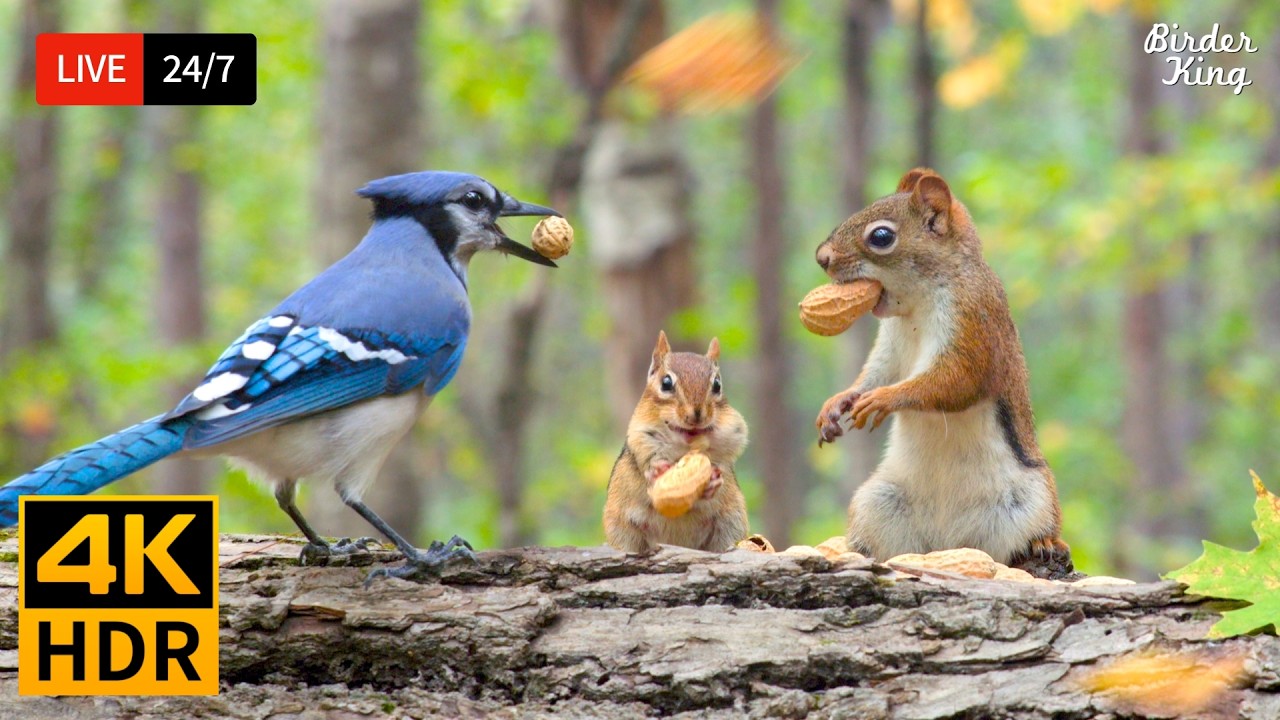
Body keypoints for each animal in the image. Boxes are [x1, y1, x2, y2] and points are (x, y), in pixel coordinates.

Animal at [604, 331, 750, 553]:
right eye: (666, 383)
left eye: (717, 385)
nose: (696, 414)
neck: (684, 449)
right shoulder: (639, 441)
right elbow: (647, 463)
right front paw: (656, 470)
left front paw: (713, 480)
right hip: (621, 529)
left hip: (731, 524)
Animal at [813, 168, 1072, 577]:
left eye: (881, 237)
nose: (822, 257)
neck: (914, 306)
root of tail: (949, 540)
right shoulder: (890, 347)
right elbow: (875, 374)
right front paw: (838, 404)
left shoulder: (974, 325)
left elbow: (952, 382)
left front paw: (883, 400)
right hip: (878, 502)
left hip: (1030, 498)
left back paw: (1044, 543)